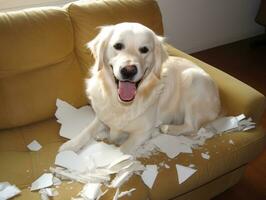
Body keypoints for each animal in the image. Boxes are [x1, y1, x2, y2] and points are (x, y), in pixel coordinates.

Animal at [58, 22, 220, 153]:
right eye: (118, 46)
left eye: (144, 49)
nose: (129, 70)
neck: (123, 104)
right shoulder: (103, 115)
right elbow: (87, 130)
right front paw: (69, 147)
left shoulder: (142, 132)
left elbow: (120, 152)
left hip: (192, 78)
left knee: (192, 126)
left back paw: (166, 128)